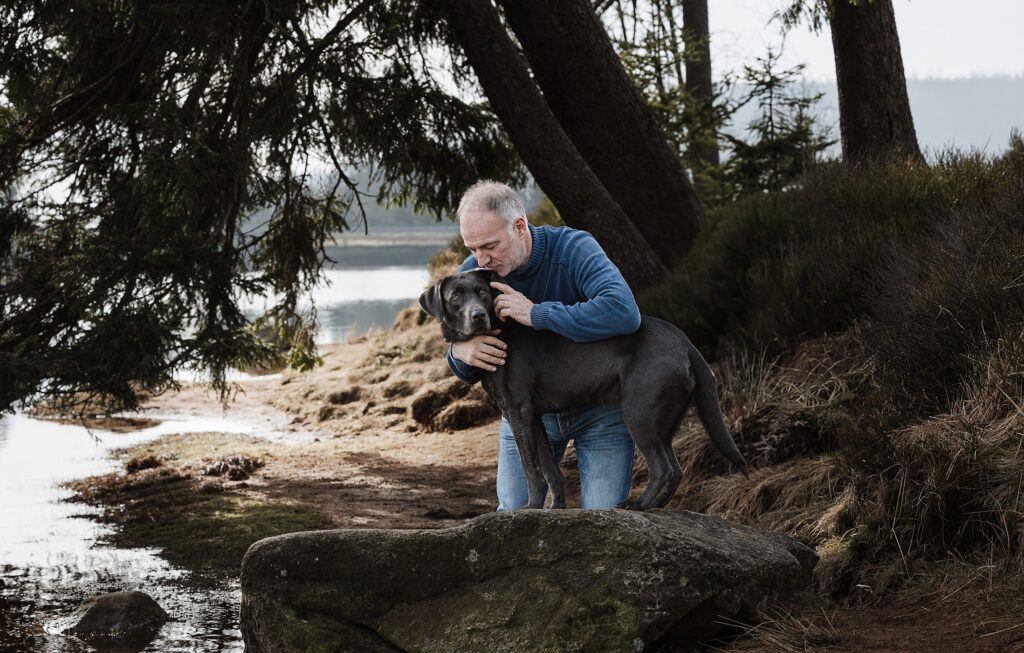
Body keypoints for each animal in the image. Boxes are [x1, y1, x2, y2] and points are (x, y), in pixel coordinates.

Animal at [419, 268, 749, 511]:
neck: (499, 331)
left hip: (639, 413)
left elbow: (530, 469)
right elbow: (550, 469)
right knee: (676, 469)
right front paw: (555, 509)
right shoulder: (534, 417)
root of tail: (686, 344)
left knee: (663, 468)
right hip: (663, 420)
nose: (478, 316)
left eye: (483, 293)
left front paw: (530, 508)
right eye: (456, 296)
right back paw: (656, 507)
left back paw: (637, 505)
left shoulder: (518, 411)